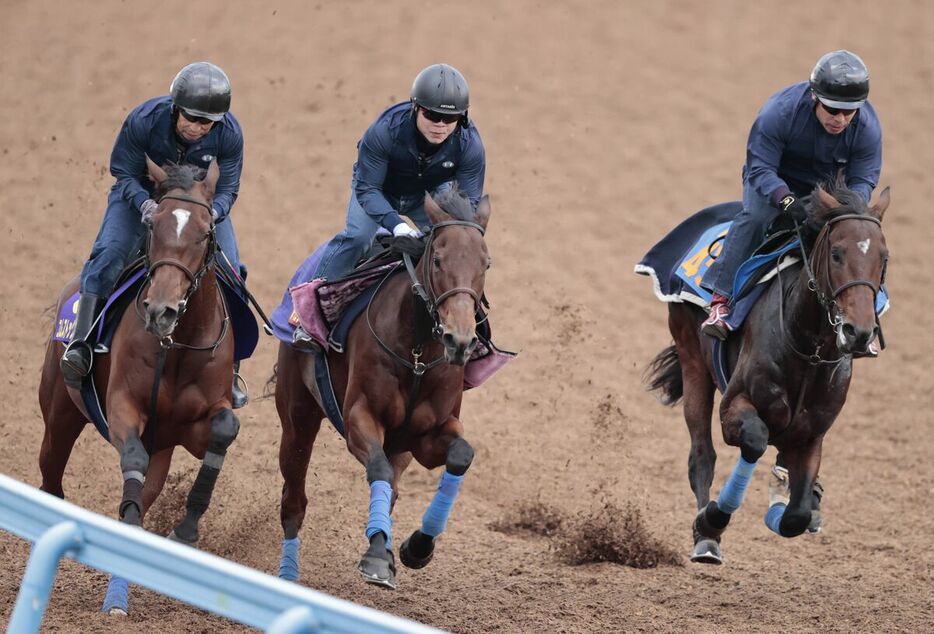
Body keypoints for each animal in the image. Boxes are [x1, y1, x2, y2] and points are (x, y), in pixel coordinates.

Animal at [36, 158, 241, 612]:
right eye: (153, 226)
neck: (176, 346)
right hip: (59, 412)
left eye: (206, 232)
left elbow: (223, 429)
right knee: (51, 473)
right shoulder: (122, 407)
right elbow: (131, 457)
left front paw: (185, 529)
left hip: (161, 446)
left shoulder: (194, 425)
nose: (160, 311)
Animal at [274, 189, 494, 588]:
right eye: (437, 259)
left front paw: (416, 547)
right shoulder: (360, 416)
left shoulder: (427, 435)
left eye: (486, 264)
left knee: (392, 488)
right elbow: (376, 468)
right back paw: (288, 574)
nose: (460, 340)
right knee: (294, 500)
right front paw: (377, 558)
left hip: (400, 447)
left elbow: (461, 455)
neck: (419, 353)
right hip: (297, 417)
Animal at [648, 183, 888, 564]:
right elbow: (755, 439)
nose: (859, 333)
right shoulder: (734, 406)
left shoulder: (812, 433)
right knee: (702, 455)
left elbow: (796, 515)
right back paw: (706, 537)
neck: (808, 349)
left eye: (883, 257)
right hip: (693, 359)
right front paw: (712, 520)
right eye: (836, 253)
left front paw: (789, 502)